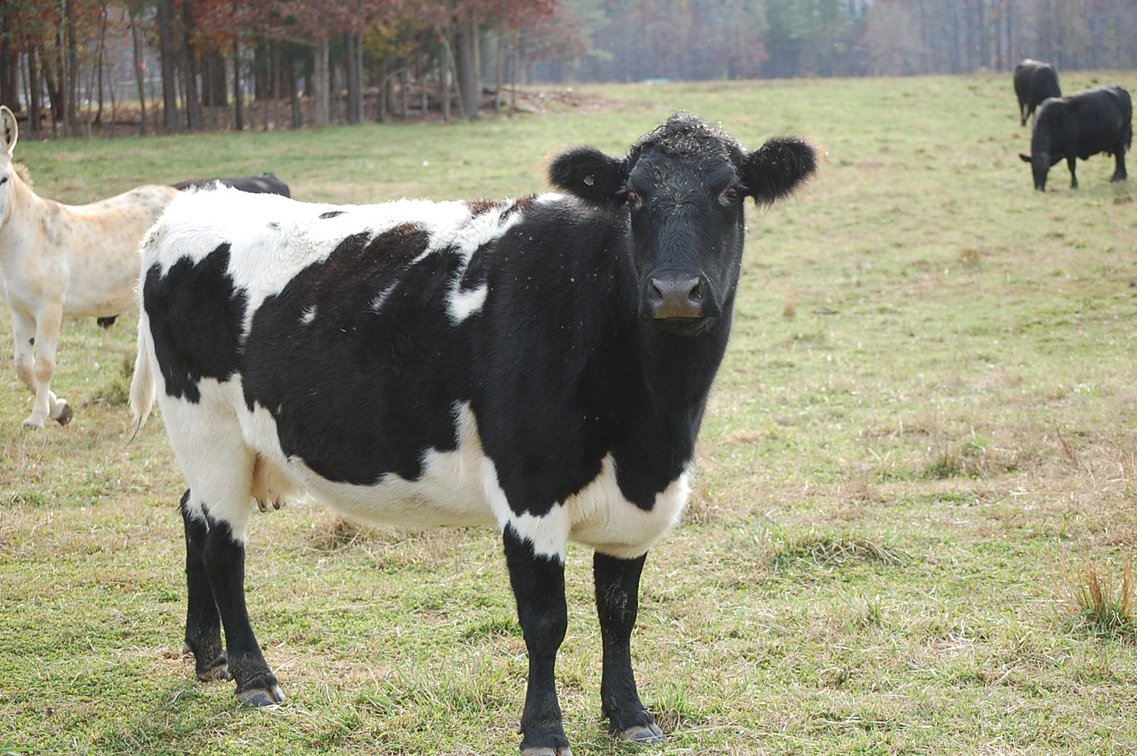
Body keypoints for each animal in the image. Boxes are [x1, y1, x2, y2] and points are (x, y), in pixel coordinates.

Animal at [129, 113, 817, 754]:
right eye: (633, 195)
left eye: (730, 191)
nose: (676, 290)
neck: (650, 433)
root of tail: (194, 204)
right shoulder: (529, 488)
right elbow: (545, 619)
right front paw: (543, 729)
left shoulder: (637, 503)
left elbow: (619, 612)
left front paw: (630, 716)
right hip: (206, 427)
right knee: (223, 546)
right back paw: (254, 678)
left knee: (192, 516)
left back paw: (209, 656)